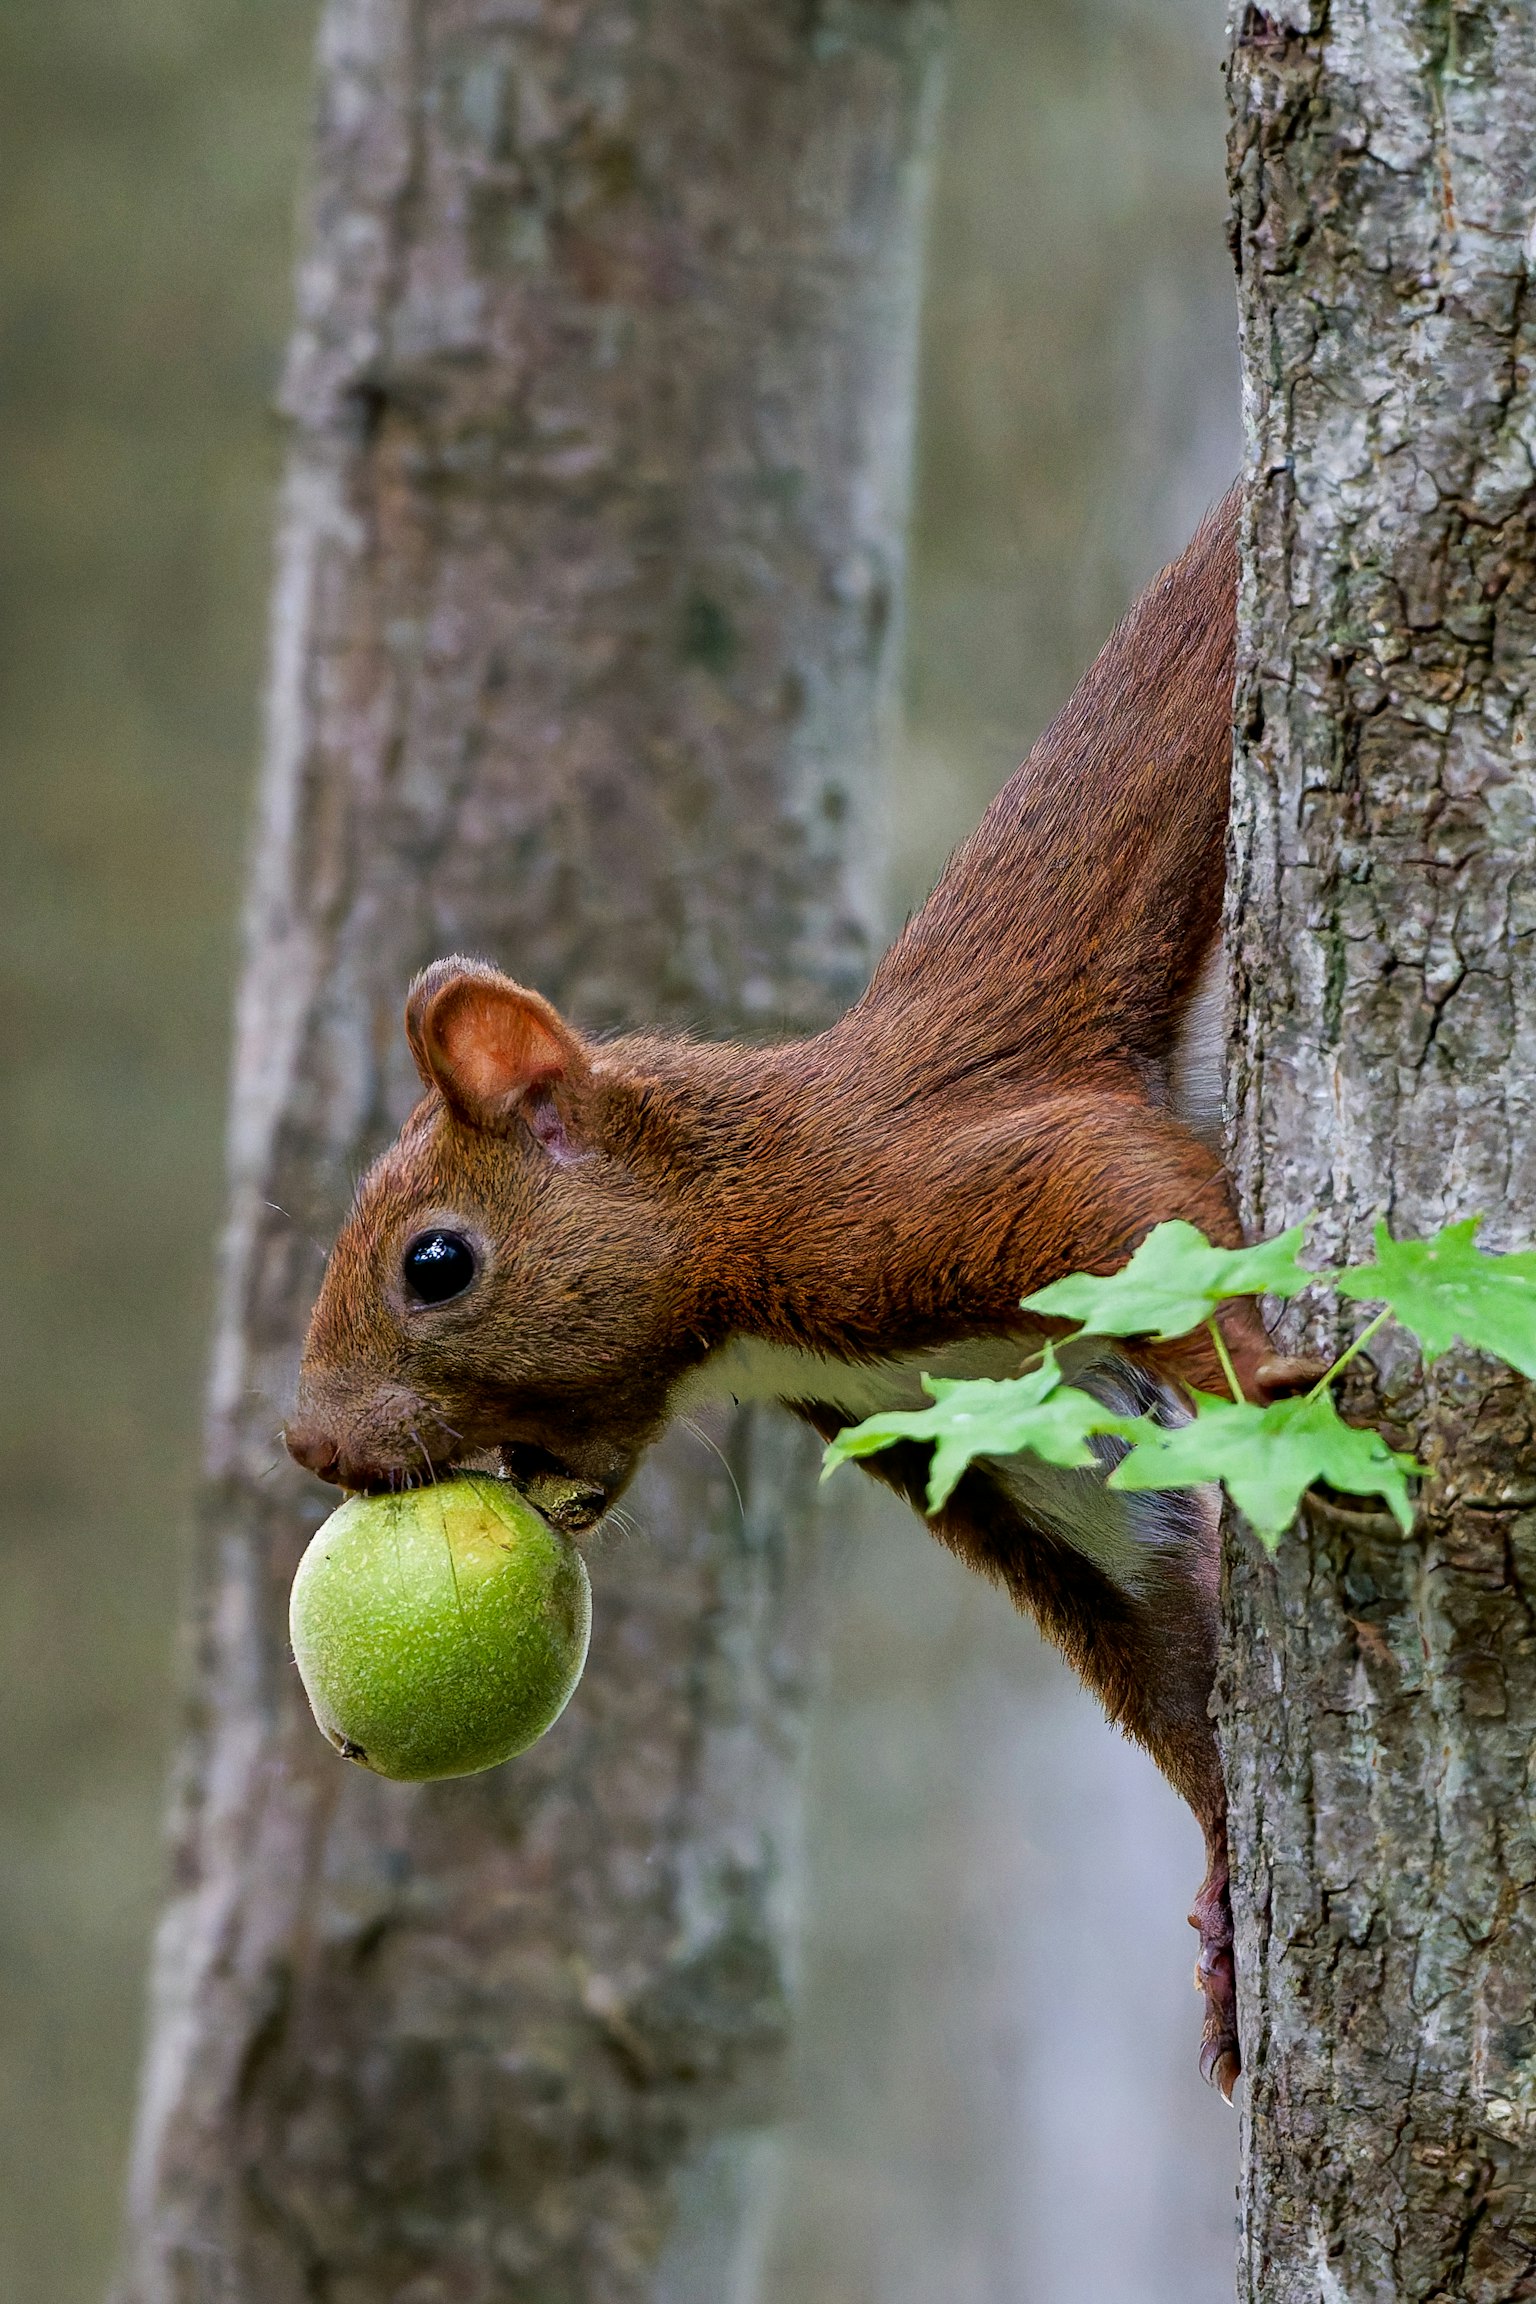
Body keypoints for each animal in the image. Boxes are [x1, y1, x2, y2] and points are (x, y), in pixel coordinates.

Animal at [287, 488, 1307, 2099]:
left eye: (433, 1264)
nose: (310, 1445)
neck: (736, 1278)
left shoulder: (898, 1193)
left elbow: (1128, 1191)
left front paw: (1264, 1373)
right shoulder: (983, 1423)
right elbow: (1155, 1615)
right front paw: (1221, 1903)